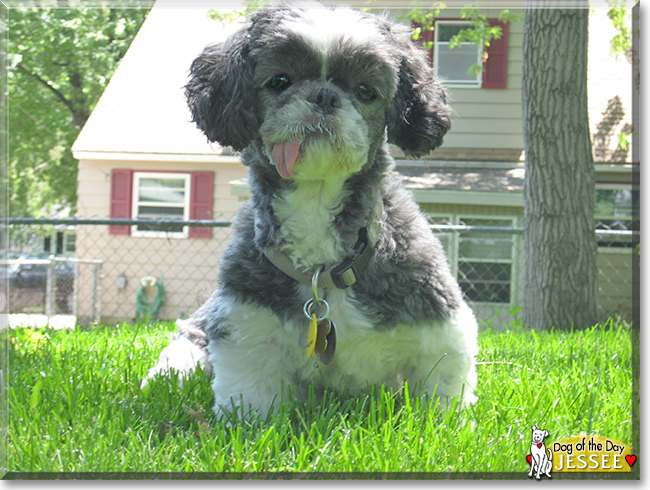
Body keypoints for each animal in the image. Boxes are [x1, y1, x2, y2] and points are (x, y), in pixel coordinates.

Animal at [143, 0, 476, 422]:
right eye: (279, 81)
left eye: (366, 91)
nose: (323, 96)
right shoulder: (246, 325)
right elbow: (251, 403)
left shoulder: (437, 324)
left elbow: (441, 395)